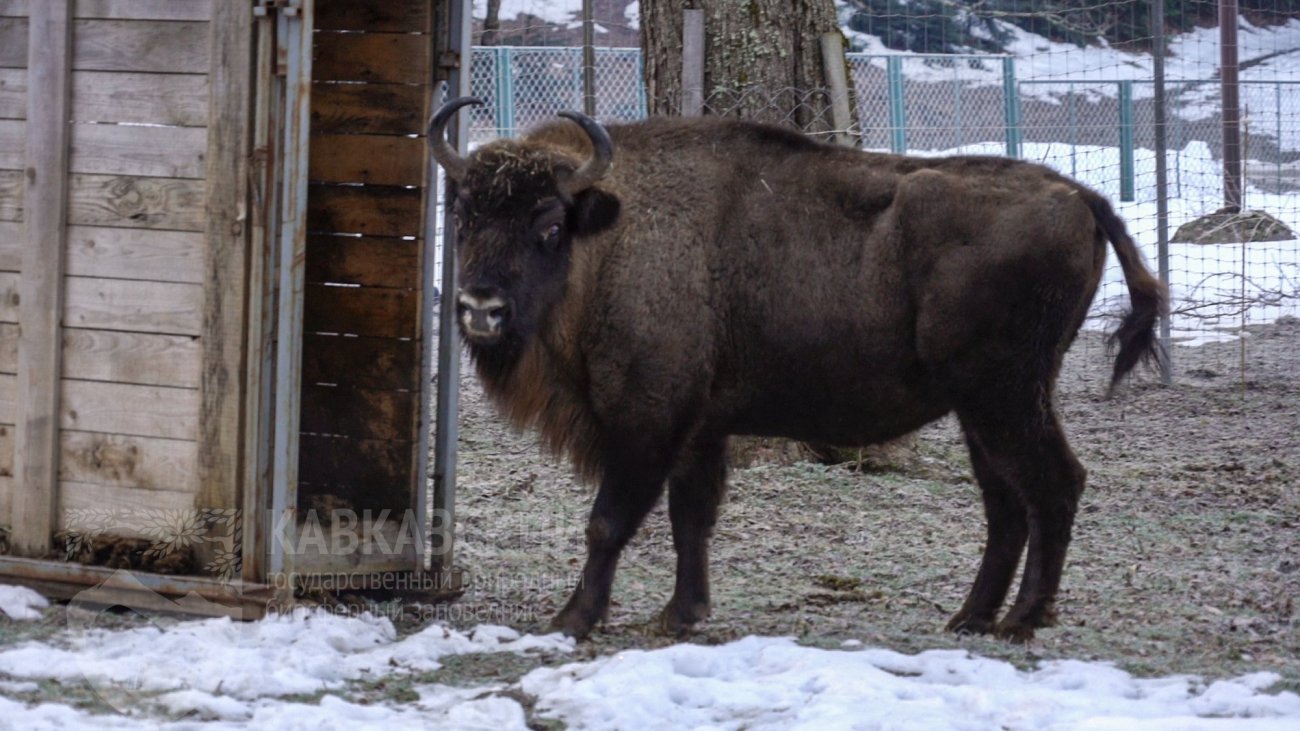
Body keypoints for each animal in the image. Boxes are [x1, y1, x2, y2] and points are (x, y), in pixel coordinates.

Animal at [431, 96, 1164, 637]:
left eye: (549, 225)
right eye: (463, 216)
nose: (480, 307)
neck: (610, 233)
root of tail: (1080, 196)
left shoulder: (648, 419)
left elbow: (609, 520)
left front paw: (571, 620)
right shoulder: (701, 428)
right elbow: (691, 516)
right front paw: (680, 614)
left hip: (1005, 395)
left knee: (1053, 484)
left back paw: (1021, 620)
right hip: (982, 406)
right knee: (1005, 502)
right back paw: (971, 617)